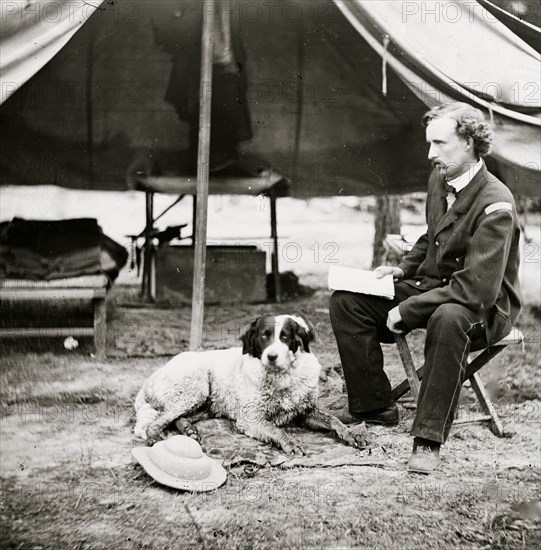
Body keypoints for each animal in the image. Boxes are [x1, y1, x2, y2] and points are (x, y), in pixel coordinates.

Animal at [134, 314, 368, 458]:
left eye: (285, 337)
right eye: (264, 336)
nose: (272, 356)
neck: (282, 378)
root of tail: (151, 378)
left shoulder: (305, 411)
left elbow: (334, 420)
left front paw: (352, 434)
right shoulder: (251, 419)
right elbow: (276, 429)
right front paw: (291, 443)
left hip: (206, 404)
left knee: (176, 418)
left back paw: (190, 431)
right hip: (195, 389)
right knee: (156, 421)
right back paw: (155, 437)